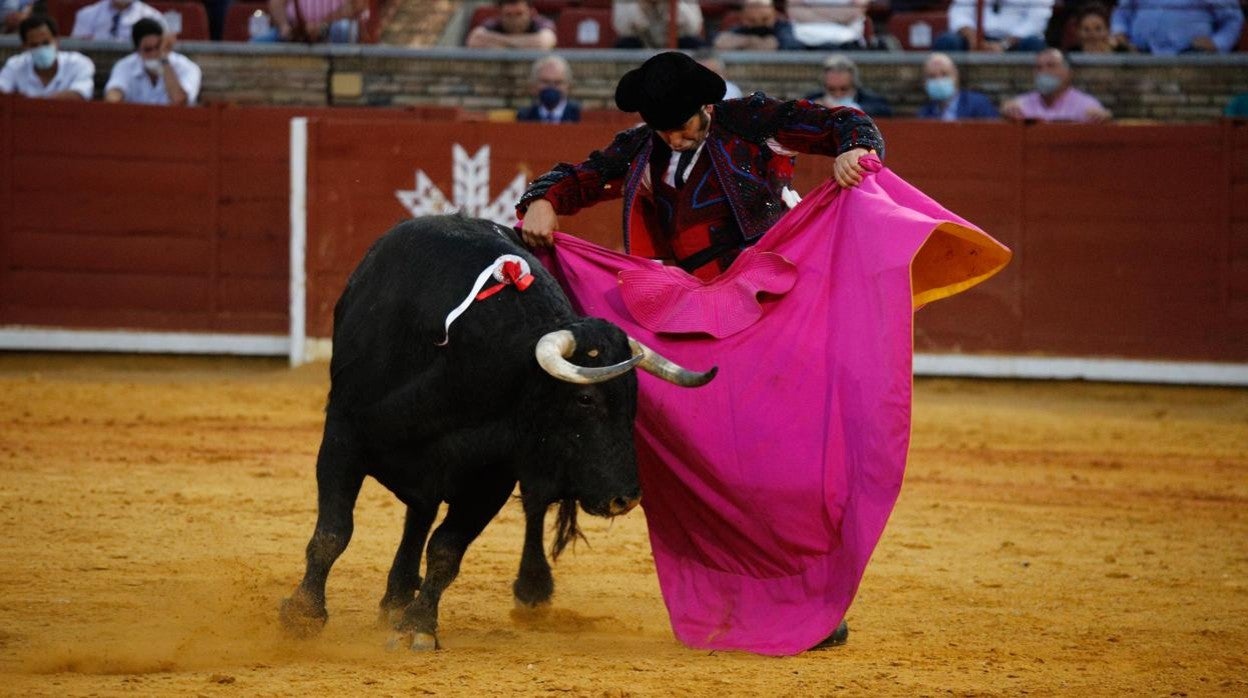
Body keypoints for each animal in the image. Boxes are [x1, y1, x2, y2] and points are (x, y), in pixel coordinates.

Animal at [280, 216, 713, 654]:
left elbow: (447, 550)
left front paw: (418, 625)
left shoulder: (490, 480)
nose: (626, 498)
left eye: (632, 398)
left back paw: (525, 588)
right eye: (586, 399)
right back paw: (397, 597)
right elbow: (334, 532)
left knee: (512, 509)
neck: (458, 370)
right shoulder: (343, 437)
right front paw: (304, 614)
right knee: (416, 516)